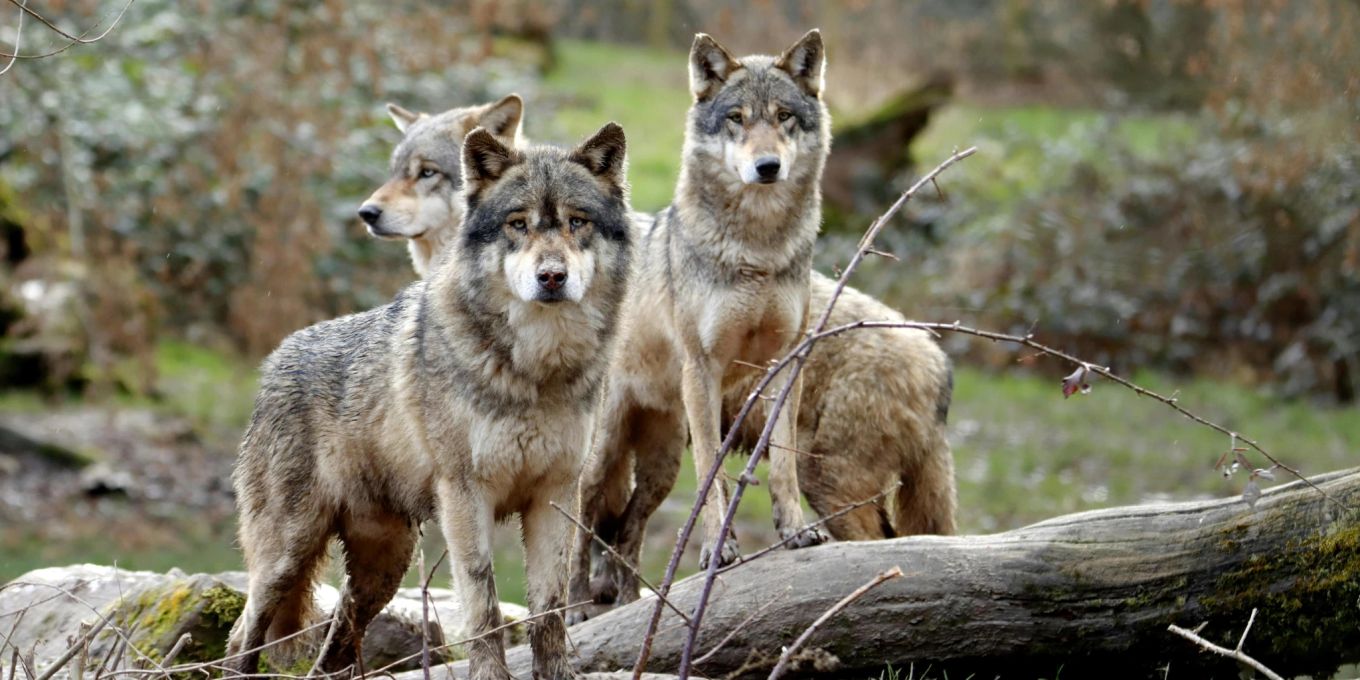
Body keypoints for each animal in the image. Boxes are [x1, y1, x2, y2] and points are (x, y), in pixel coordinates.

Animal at [227, 123, 632, 680]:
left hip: (382, 568)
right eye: (518, 224)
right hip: (285, 558)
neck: (535, 370)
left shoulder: (555, 496)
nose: (552, 276)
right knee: (242, 635)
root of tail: (273, 362)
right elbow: (484, 609)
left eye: (577, 222)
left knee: (334, 648)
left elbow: (550, 615)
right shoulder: (465, 497)